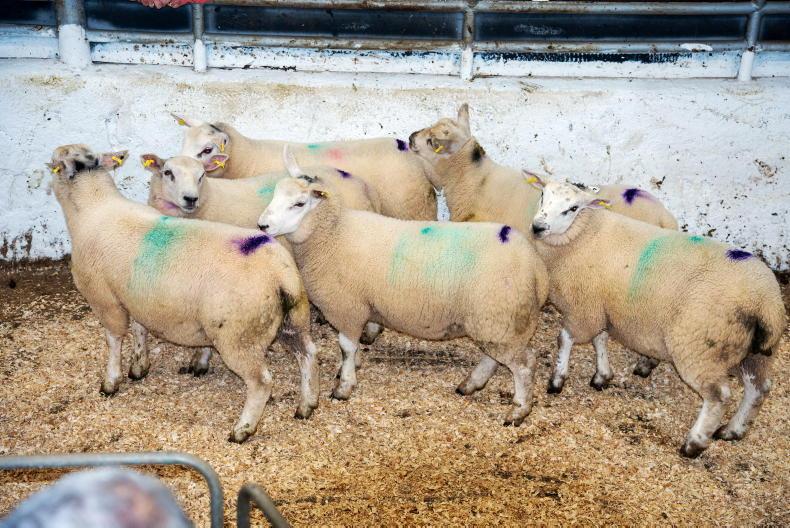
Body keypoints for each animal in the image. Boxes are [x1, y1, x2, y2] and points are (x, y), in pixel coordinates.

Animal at [48, 144, 319, 443]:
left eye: (56, 164)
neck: (93, 205)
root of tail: (281, 275)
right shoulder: (137, 294)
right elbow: (140, 330)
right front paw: (139, 366)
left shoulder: (104, 298)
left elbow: (114, 339)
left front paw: (110, 381)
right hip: (293, 320)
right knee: (308, 354)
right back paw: (307, 405)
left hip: (238, 336)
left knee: (261, 382)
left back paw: (242, 429)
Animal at [255, 148, 550, 426]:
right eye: (276, 193)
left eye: (299, 203)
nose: (262, 225)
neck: (333, 232)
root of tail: (535, 265)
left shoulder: (347, 307)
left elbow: (346, 348)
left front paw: (344, 386)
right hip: (497, 322)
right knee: (494, 357)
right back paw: (470, 384)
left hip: (499, 317)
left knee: (524, 364)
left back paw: (518, 411)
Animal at [526, 175, 785, 457]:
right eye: (542, 195)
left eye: (572, 208)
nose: (538, 227)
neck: (583, 232)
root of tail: (766, 302)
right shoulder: (600, 305)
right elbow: (601, 339)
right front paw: (602, 375)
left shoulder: (582, 308)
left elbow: (565, 339)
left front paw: (557, 380)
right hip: (755, 354)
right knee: (758, 388)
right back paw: (733, 431)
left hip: (700, 346)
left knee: (718, 396)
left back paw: (694, 443)